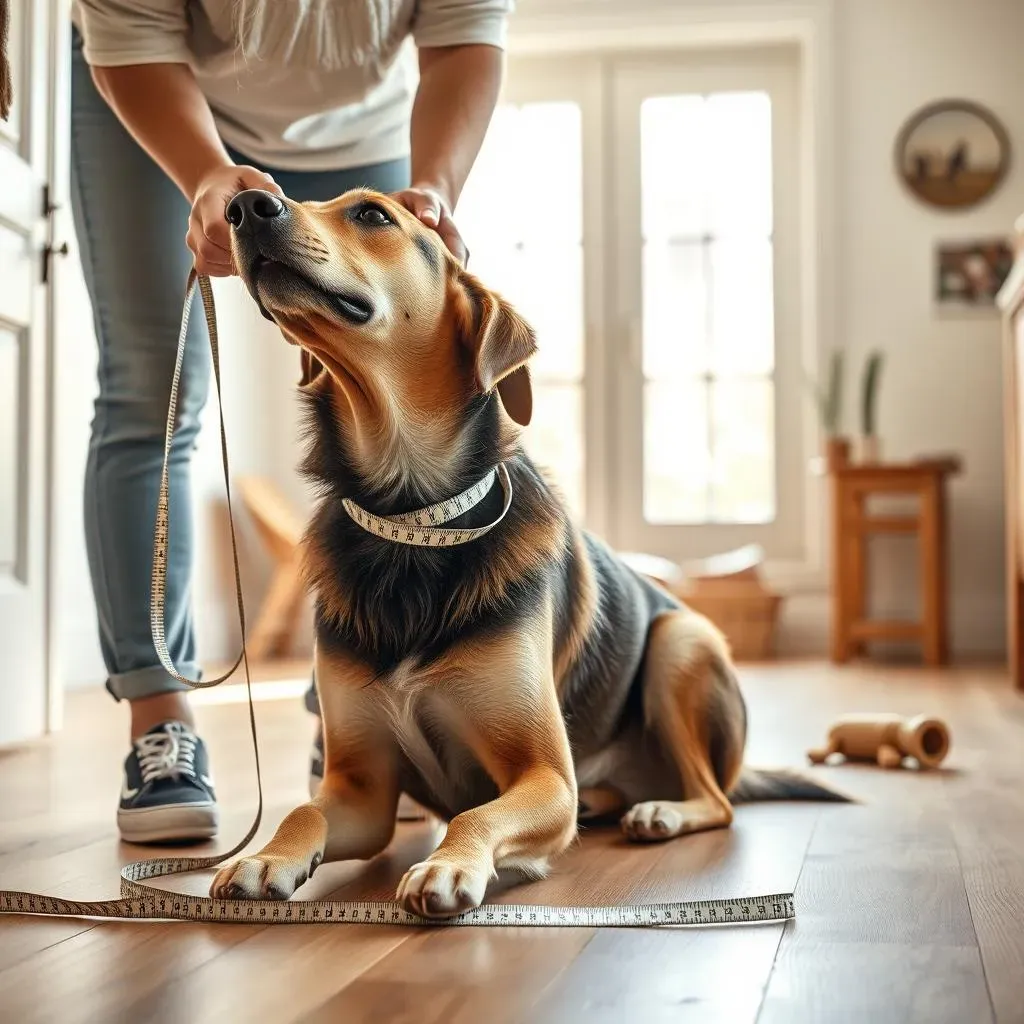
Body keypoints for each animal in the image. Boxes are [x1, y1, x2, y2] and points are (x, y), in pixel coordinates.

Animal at [209, 188, 847, 917]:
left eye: (372, 214)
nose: (245, 204)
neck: (408, 516)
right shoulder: (360, 791)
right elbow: (303, 811)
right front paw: (266, 857)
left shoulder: (544, 775)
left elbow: (476, 813)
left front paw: (447, 864)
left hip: (682, 641)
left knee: (717, 801)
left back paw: (662, 811)